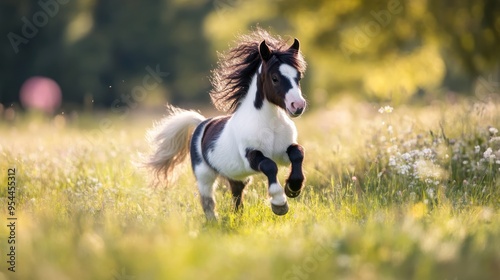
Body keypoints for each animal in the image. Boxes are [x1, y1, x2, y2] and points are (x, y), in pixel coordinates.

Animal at [146, 29, 306, 221]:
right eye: (275, 78)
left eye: (298, 76)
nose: (298, 106)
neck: (269, 125)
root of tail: (202, 124)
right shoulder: (251, 156)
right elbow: (269, 166)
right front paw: (279, 203)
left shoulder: (283, 152)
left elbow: (298, 153)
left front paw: (293, 188)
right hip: (204, 175)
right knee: (208, 201)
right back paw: (213, 221)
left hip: (237, 176)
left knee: (237, 196)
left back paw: (237, 217)